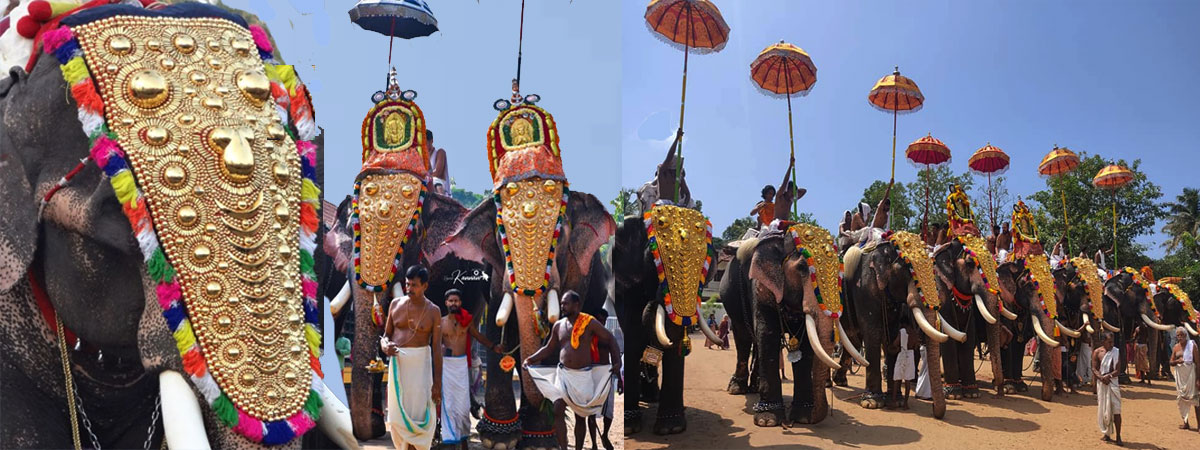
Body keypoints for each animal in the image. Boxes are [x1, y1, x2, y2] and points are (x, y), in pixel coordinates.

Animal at [436, 99, 614, 450]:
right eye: (501, 233)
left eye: (560, 235)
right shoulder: (495, 274)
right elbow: (497, 326)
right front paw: (500, 440)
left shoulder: (576, 272)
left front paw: (537, 441)